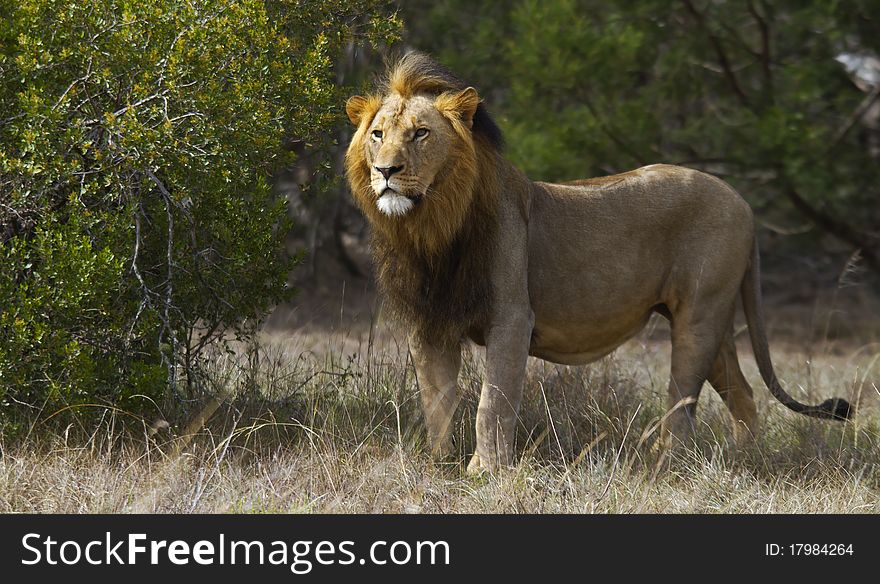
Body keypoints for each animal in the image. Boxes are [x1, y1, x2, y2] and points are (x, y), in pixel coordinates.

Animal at [344, 51, 852, 474]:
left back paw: (661, 466)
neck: (429, 230)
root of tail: (742, 200)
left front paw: (484, 472)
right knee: (743, 396)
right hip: (717, 320)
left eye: (421, 133)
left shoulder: (512, 317)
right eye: (377, 135)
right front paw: (438, 465)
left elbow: (493, 401)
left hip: (700, 315)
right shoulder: (429, 322)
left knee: (682, 400)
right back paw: (741, 459)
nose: (385, 171)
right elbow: (437, 401)